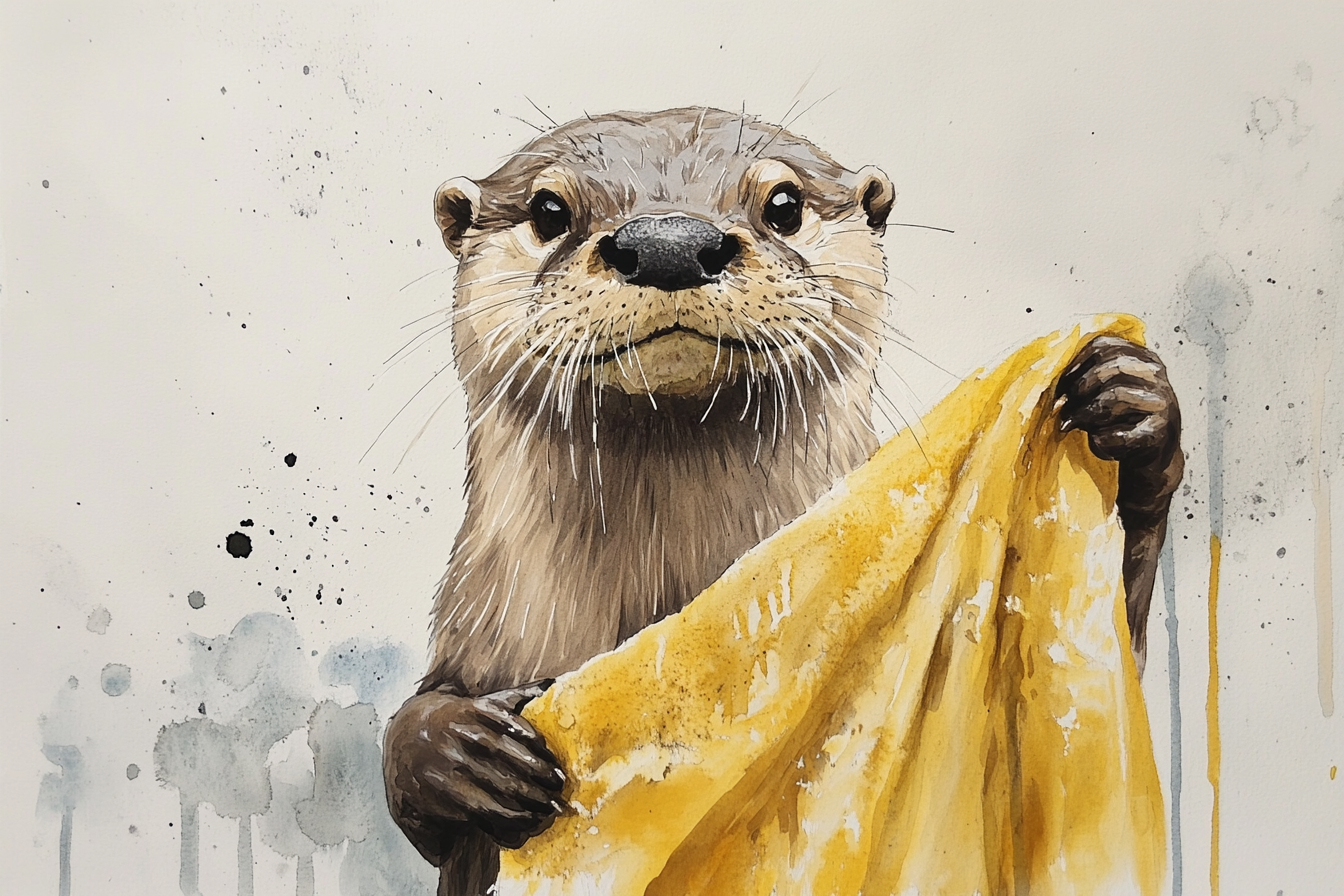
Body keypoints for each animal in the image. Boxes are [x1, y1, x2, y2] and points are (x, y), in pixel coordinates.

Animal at [382, 108, 1183, 896]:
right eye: (549, 210)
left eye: (785, 205)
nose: (670, 244)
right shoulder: (478, 621)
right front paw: (454, 748)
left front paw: (1133, 408)